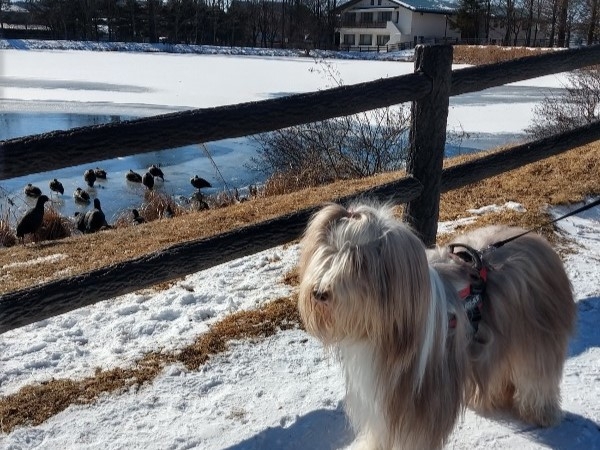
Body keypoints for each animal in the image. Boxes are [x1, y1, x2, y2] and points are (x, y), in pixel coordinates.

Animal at [298, 202, 576, 448]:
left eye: (358, 262)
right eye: (328, 252)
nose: (320, 292)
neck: (382, 330)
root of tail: (539, 242)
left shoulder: (421, 398)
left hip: (536, 336)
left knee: (537, 376)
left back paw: (541, 413)